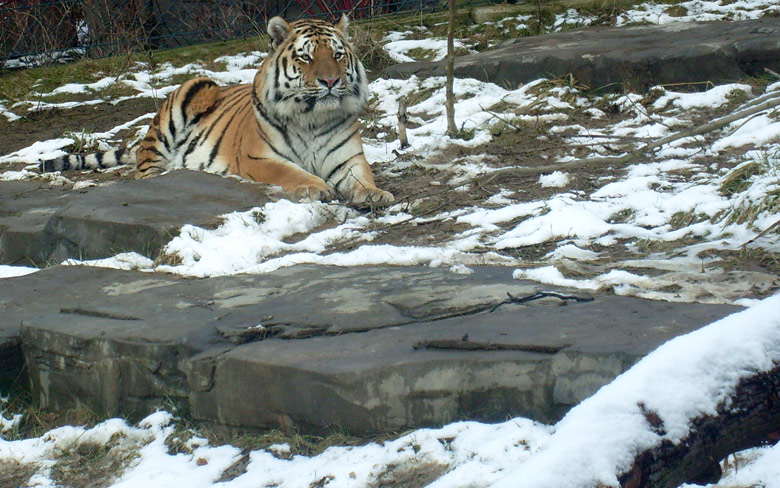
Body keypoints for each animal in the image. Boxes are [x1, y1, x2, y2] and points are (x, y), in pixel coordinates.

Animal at [39, 15, 394, 205]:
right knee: (145, 169)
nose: (331, 81)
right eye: (305, 57)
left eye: (337, 54)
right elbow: (289, 172)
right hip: (195, 88)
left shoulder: (349, 159)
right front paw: (315, 186)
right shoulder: (257, 157)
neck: (312, 118)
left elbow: (363, 178)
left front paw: (376, 194)